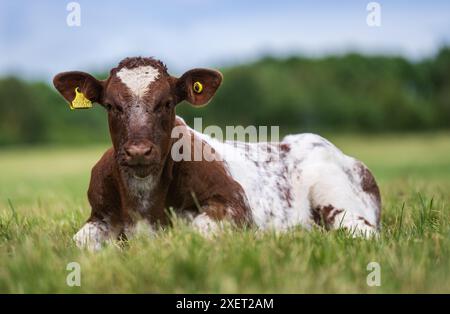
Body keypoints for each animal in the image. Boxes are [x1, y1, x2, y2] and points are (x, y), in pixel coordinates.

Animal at [54, 57, 382, 250]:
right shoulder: (99, 215)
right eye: (111, 106)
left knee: (360, 233)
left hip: (340, 202)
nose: (139, 151)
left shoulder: (235, 203)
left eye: (167, 103)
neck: (144, 203)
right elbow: (75, 244)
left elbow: (192, 232)